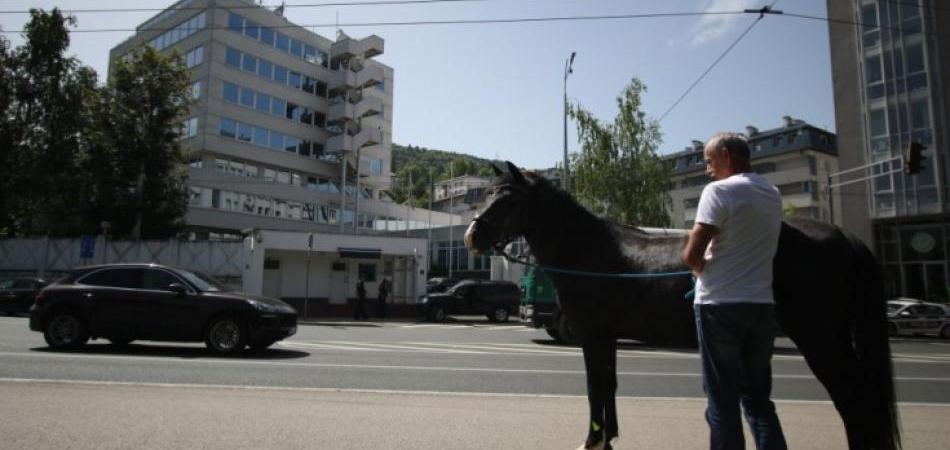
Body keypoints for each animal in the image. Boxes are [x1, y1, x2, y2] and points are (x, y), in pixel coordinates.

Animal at [464, 162, 904, 450]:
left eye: (508, 199)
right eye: (487, 194)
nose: (471, 236)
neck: (590, 251)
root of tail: (842, 235)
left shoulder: (592, 334)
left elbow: (594, 386)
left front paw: (592, 440)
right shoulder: (607, 336)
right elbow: (608, 385)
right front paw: (608, 438)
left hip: (821, 339)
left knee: (853, 398)